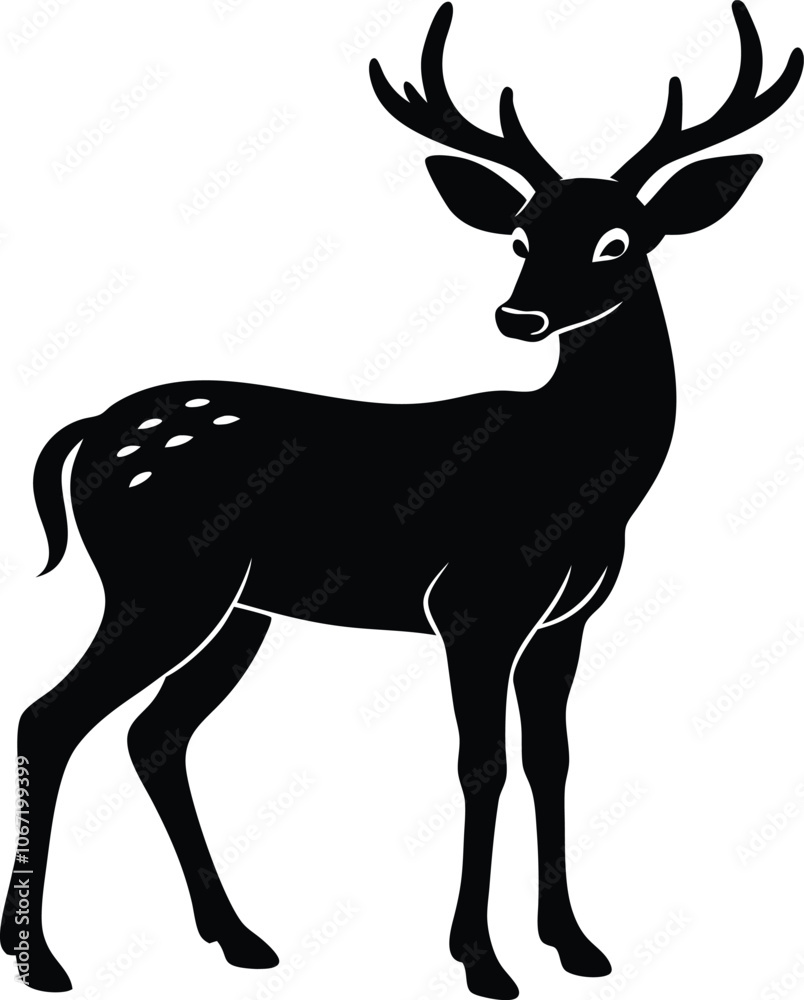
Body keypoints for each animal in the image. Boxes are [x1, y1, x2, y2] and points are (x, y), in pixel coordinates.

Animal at [2, 2, 801, 996]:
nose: (519, 317)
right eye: (521, 237)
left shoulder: (568, 619)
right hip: (160, 584)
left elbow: (551, 760)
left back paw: (238, 937)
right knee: (49, 717)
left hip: (236, 610)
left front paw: (577, 945)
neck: (582, 482)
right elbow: (481, 765)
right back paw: (42, 959)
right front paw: (482, 961)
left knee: (155, 734)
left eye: (619, 241)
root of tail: (88, 430)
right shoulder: (473, 601)